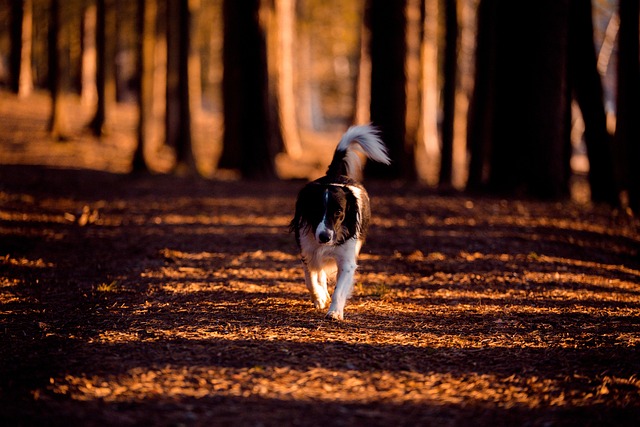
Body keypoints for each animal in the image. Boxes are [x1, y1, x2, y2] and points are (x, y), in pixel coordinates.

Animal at [292, 125, 390, 320]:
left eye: (338, 212)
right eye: (315, 210)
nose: (324, 237)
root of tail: (335, 175)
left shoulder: (347, 260)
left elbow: (339, 289)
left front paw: (335, 311)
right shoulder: (308, 251)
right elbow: (311, 279)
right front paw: (320, 297)